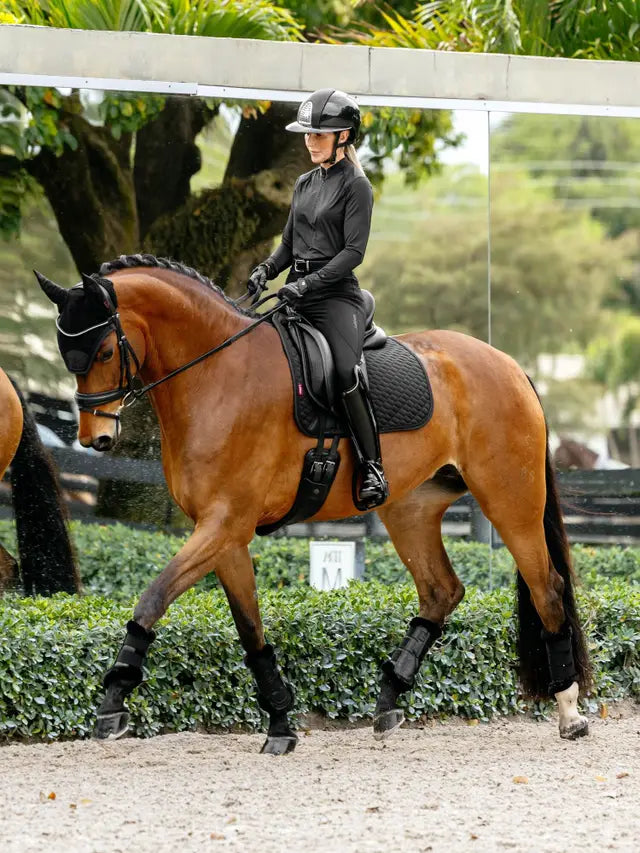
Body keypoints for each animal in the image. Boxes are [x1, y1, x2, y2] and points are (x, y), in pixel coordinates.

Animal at [35, 255, 591, 754]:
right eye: (67, 355)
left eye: (104, 351)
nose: (96, 439)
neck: (218, 374)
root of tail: (509, 364)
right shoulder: (224, 535)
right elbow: (250, 630)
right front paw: (281, 723)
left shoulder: (223, 525)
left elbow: (152, 598)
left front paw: (112, 701)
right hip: (409, 509)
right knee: (442, 591)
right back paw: (388, 700)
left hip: (509, 501)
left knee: (547, 589)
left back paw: (569, 712)